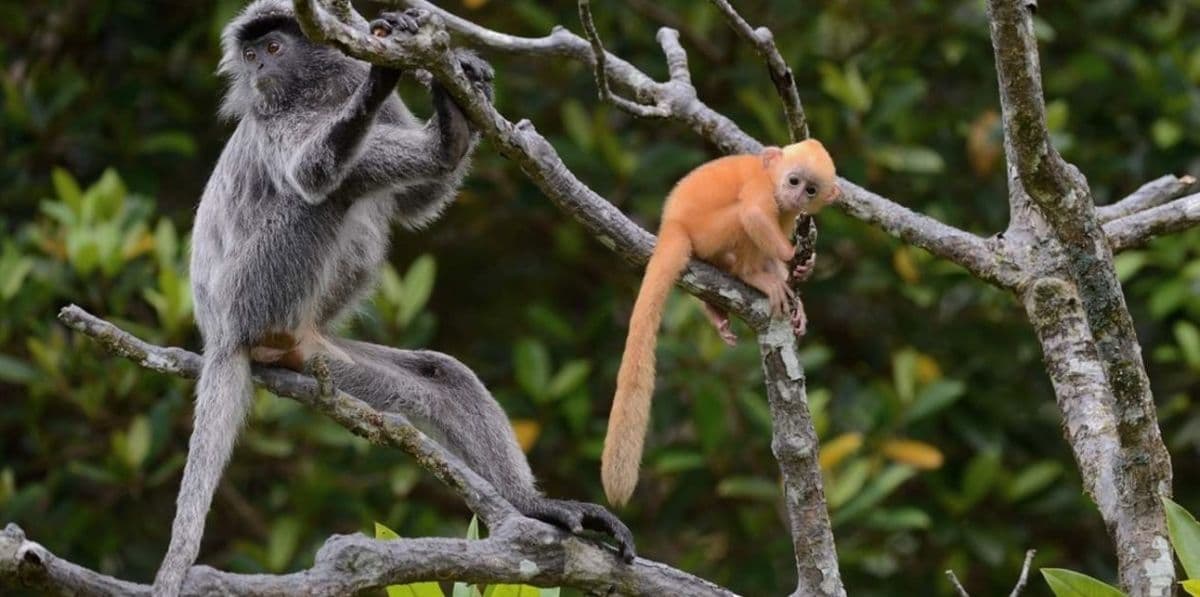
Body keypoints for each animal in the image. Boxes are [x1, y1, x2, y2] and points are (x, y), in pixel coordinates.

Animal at [153, 3, 632, 595]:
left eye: (273, 49)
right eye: (249, 54)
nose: (258, 68)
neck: (317, 94)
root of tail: (220, 335)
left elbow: (414, 204)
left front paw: (461, 89)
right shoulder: (272, 120)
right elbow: (313, 172)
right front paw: (390, 84)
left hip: (322, 356)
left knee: (442, 378)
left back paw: (535, 506)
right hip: (251, 295)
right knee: (329, 189)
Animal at [601, 140, 839, 506]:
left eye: (811, 189)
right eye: (793, 180)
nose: (796, 195)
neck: (771, 179)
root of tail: (673, 224)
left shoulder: (790, 213)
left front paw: (802, 282)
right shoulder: (761, 187)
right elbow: (753, 214)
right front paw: (791, 260)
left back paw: (718, 305)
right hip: (708, 231)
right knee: (742, 219)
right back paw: (751, 276)